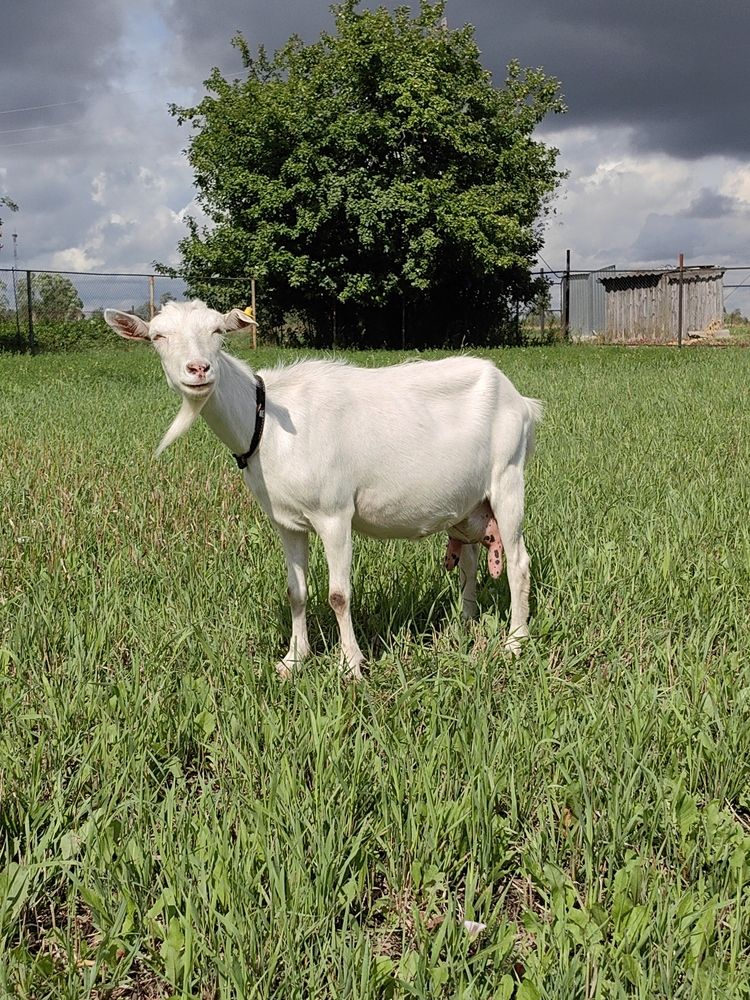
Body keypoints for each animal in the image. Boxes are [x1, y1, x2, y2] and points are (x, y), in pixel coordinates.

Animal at [104, 300, 542, 680]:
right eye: (158, 336)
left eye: (217, 331)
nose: (198, 369)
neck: (266, 422)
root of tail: (522, 400)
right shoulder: (286, 521)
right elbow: (296, 591)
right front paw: (293, 660)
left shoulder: (333, 513)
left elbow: (338, 594)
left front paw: (352, 667)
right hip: (469, 501)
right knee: (469, 560)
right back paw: (465, 626)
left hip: (507, 477)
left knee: (519, 561)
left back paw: (515, 643)